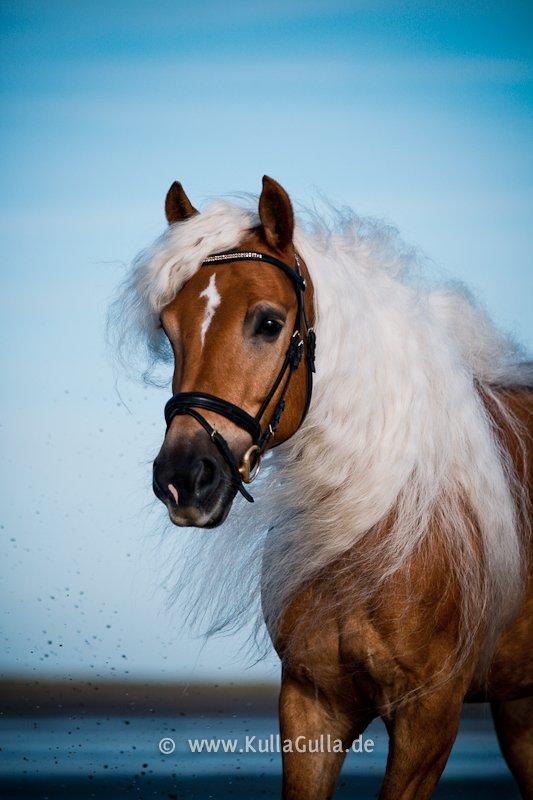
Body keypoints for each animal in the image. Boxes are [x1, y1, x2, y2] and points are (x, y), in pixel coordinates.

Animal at [110, 178, 528, 796]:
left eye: (267, 322)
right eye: (169, 328)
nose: (183, 479)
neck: (370, 526)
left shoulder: (429, 717)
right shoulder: (312, 704)